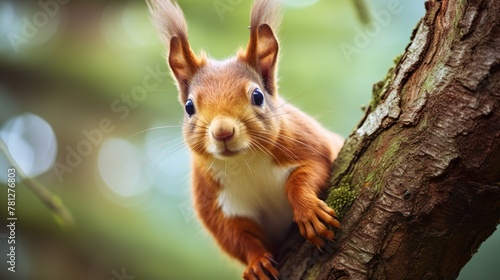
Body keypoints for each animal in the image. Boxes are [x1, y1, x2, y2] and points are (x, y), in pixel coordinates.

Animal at [148, 0, 344, 280]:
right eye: (189, 107)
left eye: (258, 96)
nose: (222, 132)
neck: (245, 161)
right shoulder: (216, 204)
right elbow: (236, 237)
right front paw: (256, 263)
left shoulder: (309, 145)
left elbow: (306, 175)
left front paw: (309, 213)